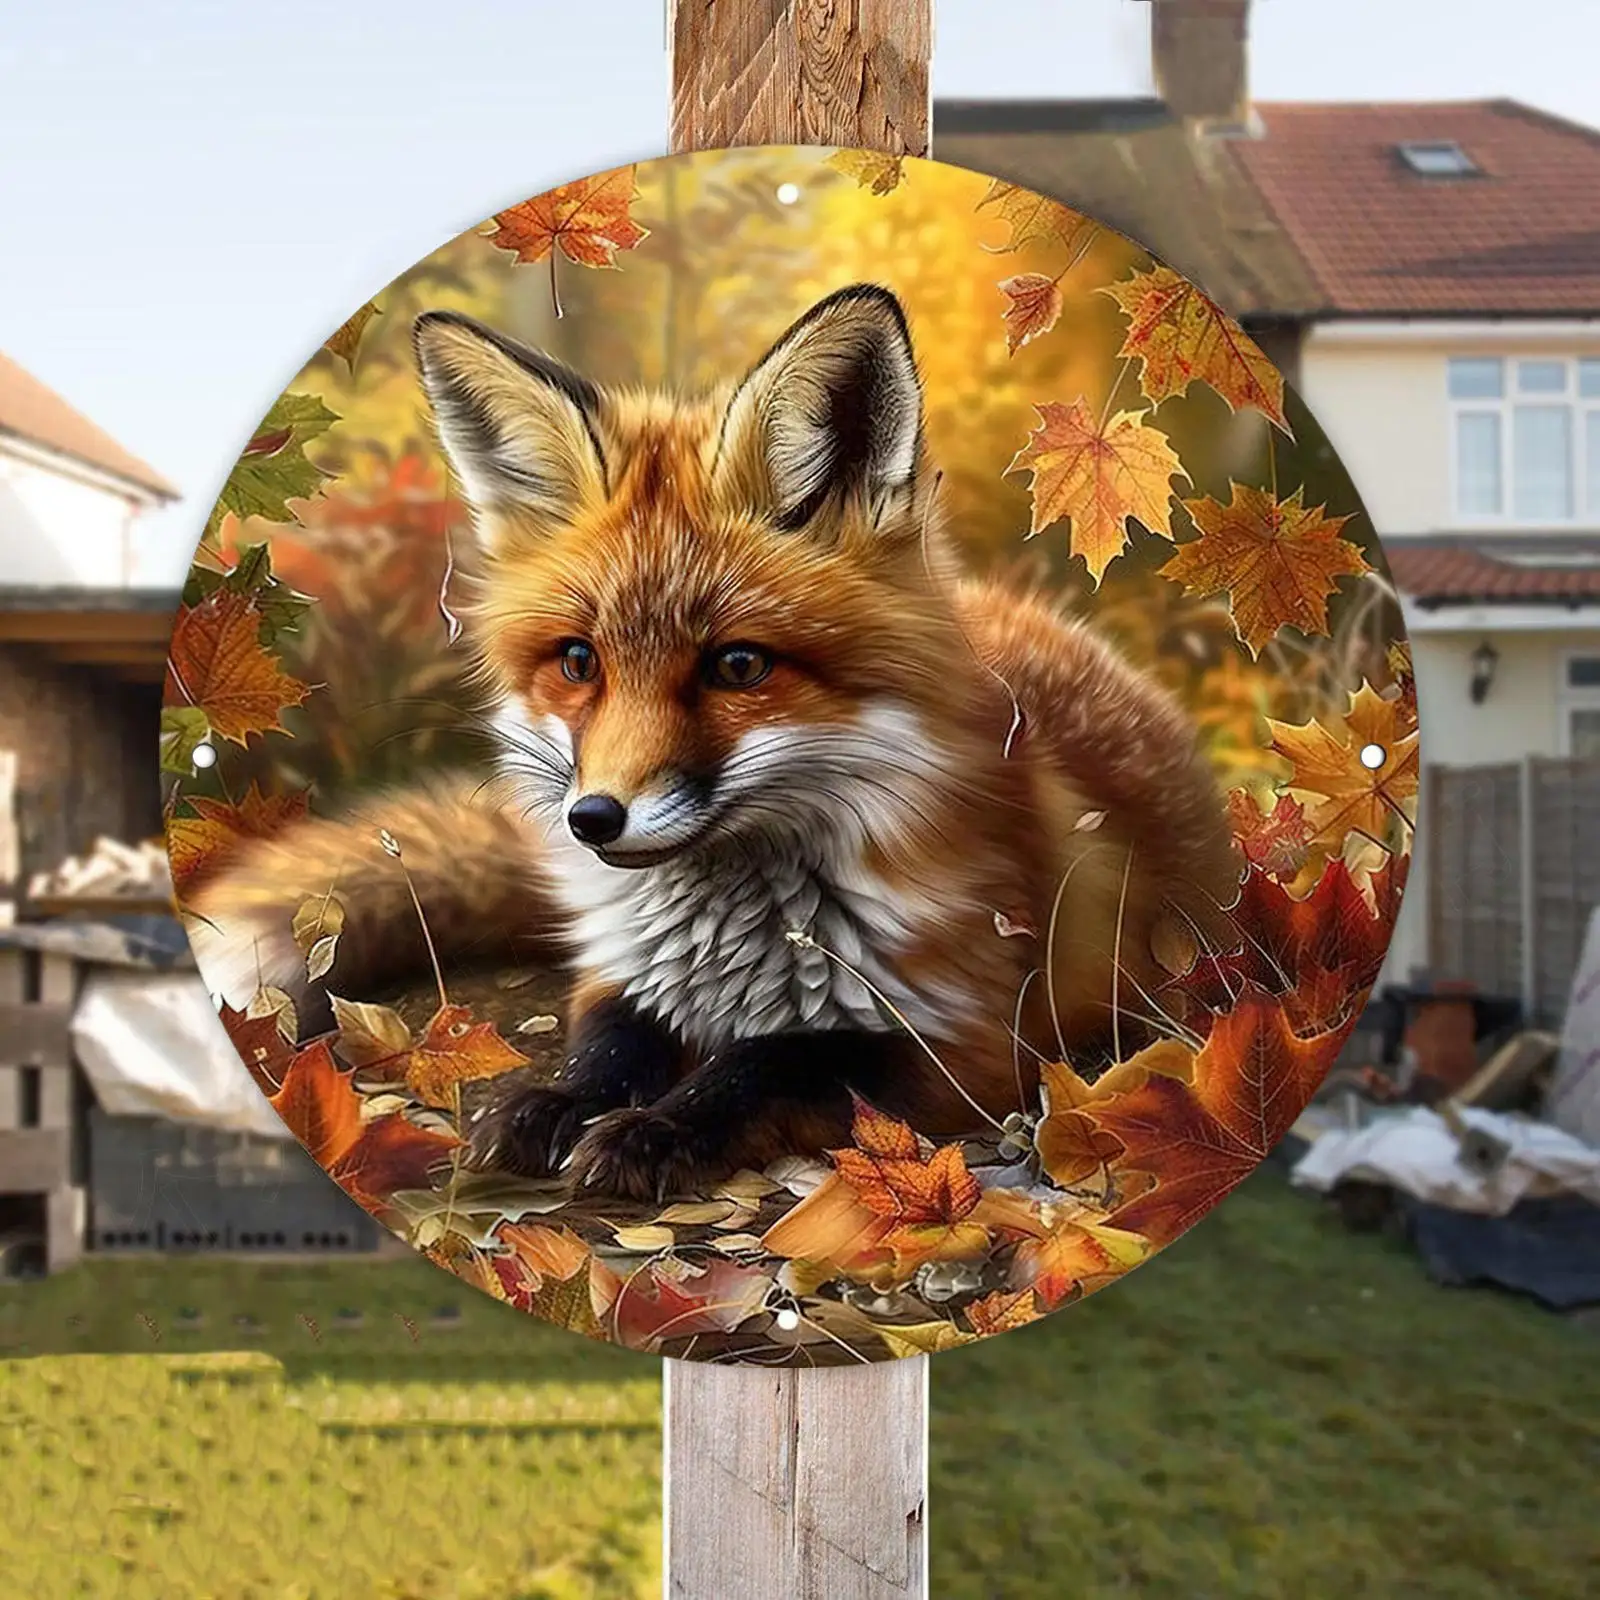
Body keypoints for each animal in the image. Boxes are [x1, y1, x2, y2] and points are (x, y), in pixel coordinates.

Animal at [188, 284, 1242, 1203]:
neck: (731, 941)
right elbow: (612, 1046)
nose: (593, 818)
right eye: (579, 661)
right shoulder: (624, 972)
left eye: (737, 666)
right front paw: (551, 1105)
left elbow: (774, 1062)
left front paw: (659, 1131)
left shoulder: (973, 1038)